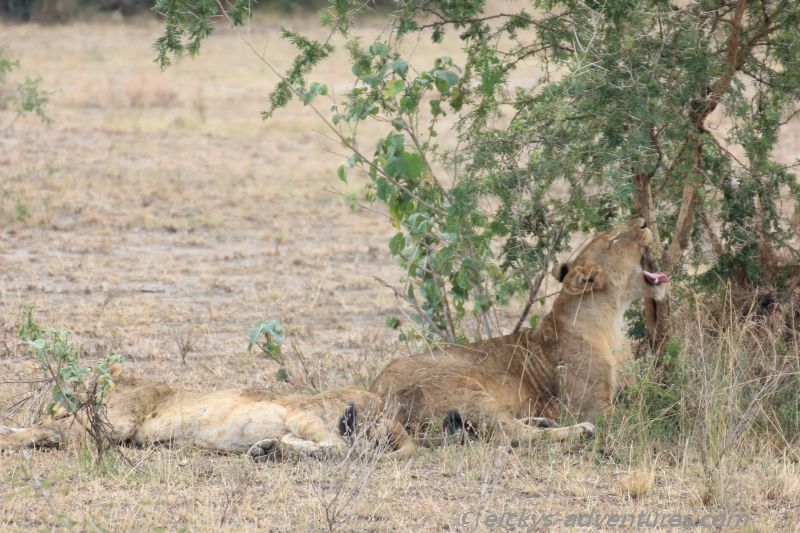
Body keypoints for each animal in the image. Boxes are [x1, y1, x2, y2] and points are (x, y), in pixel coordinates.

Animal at [370, 218, 669, 444]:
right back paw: (577, 430)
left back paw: (544, 420)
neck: (610, 322)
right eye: (615, 239)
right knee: (511, 433)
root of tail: (376, 393)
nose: (643, 220)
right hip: (464, 389)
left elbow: (651, 396)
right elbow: (644, 414)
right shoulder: (593, 407)